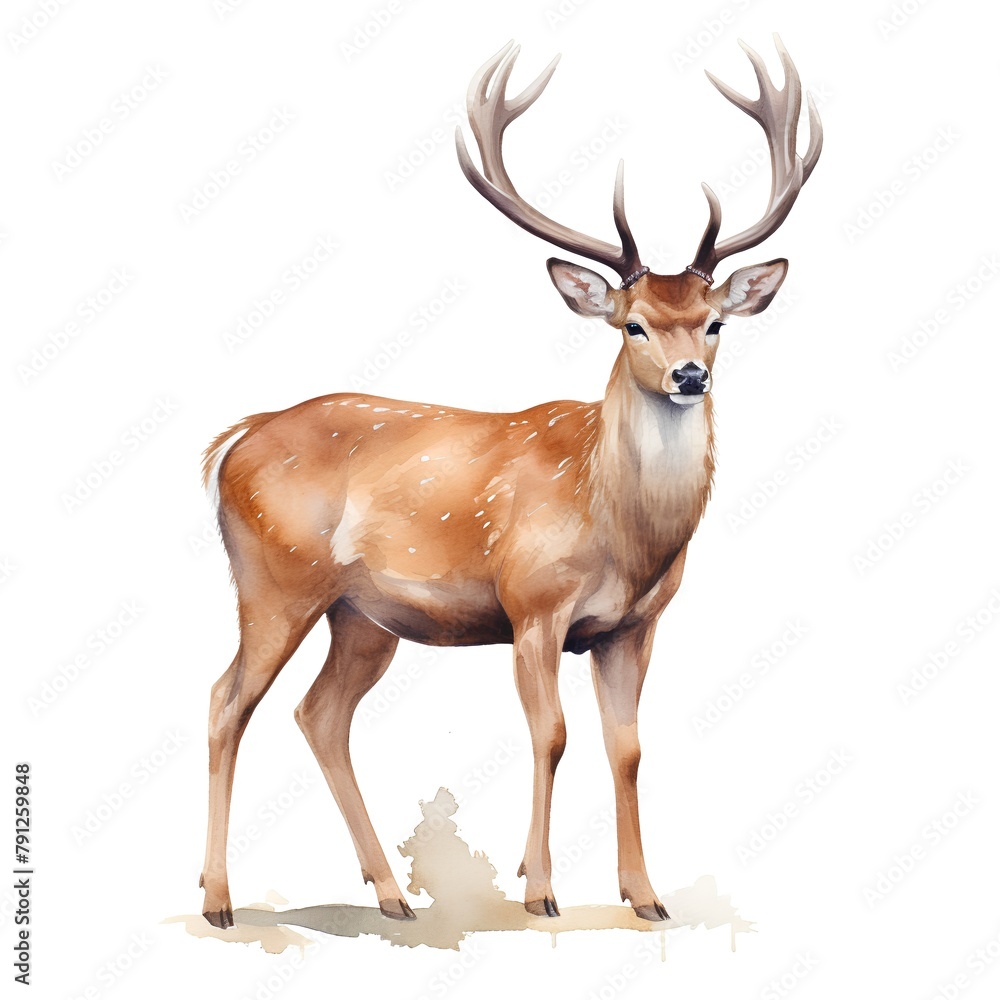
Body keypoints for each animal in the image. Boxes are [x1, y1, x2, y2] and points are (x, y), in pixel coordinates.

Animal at [199, 35, 821, 929]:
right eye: (633, 325)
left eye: (714, 322)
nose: (690, 376)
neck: (623, 533)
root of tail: (232, 443)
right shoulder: (532, 603)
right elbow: (551, 735)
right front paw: (540, 889)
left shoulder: (634, 625)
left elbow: (628, 747)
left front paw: (646, 896)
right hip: (273, 581)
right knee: (227, 701)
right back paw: (218, 899)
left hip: (363, 615)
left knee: (319, 715)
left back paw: (392, 894)